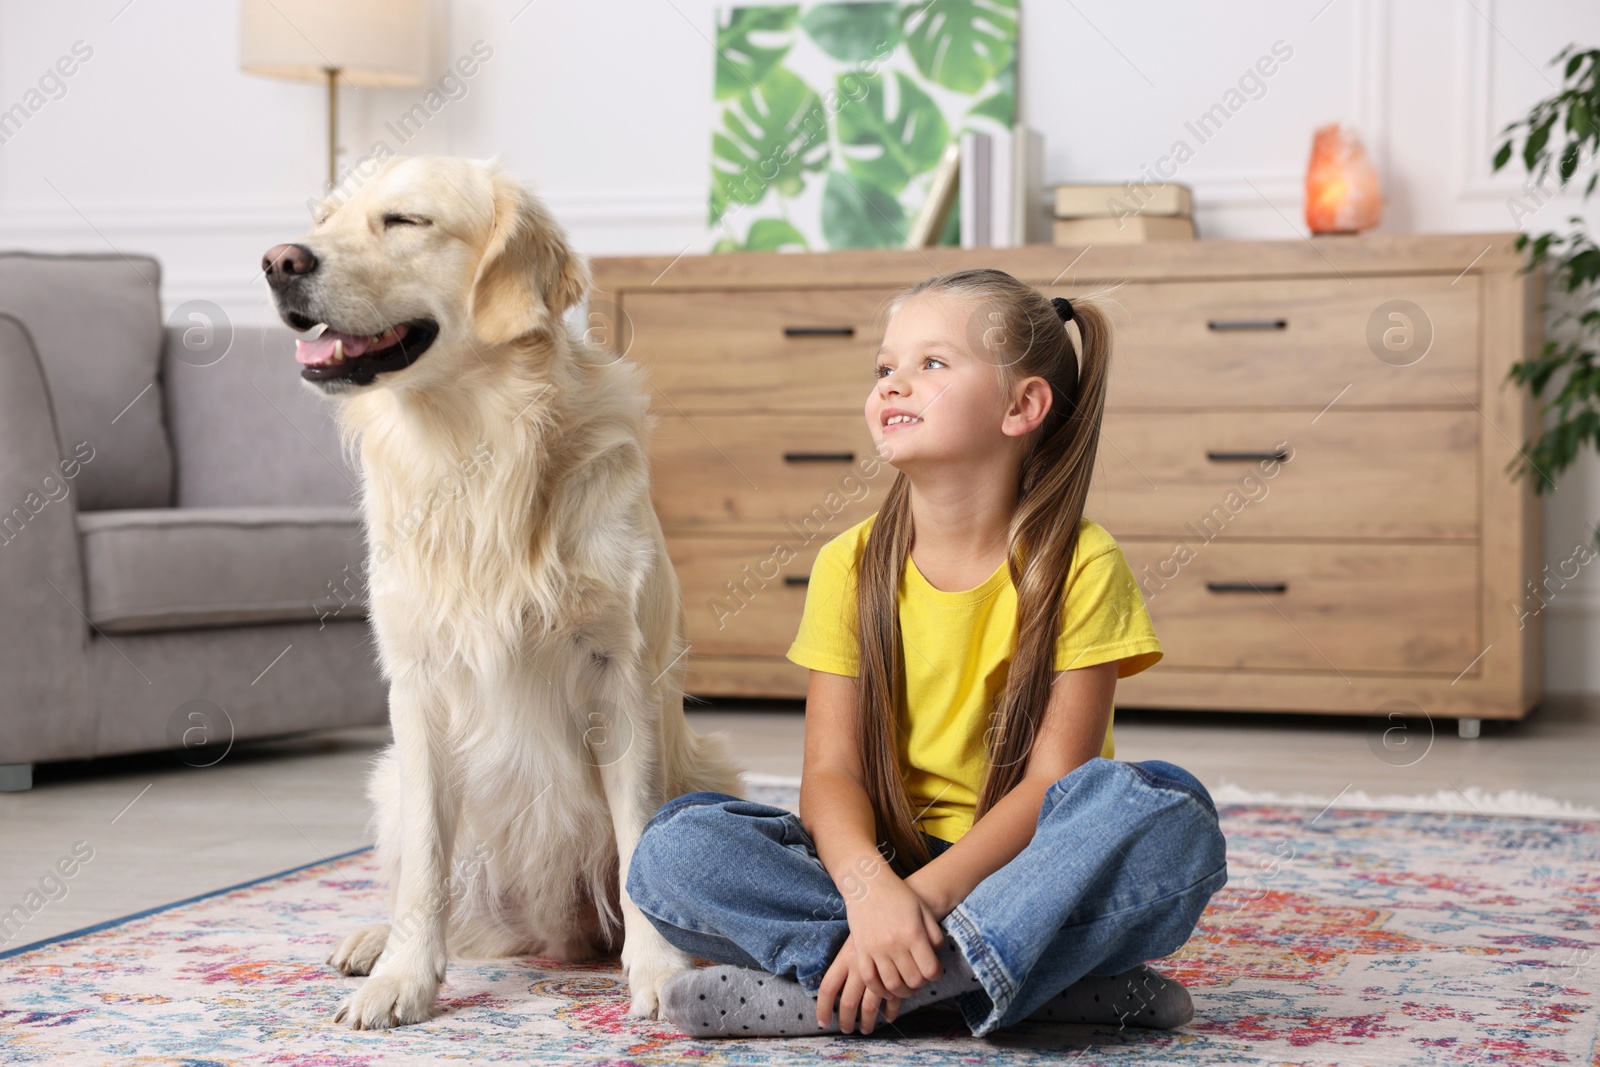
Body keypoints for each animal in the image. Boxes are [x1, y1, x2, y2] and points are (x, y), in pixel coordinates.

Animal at [260, 154, 742, 1030]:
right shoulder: (417, 687)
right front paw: (403, 977)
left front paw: (660, 971)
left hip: (713, 767)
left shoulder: (620, 674)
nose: (280, 261)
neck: (477, 448)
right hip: (388, 777)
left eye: (405, 221)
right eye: (323, 221)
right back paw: (372, 940)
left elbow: (639, 840)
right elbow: (426, 863)